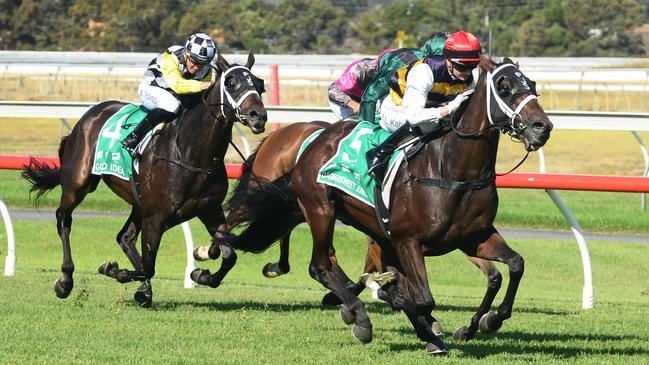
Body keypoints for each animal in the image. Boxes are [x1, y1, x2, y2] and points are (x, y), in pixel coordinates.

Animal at [22, 52, 266, 304]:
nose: (258, 116)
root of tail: (89, 115)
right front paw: (113, 270)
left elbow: (228, 256)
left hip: (137, 201)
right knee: (64, 219)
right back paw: (66, 280)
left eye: (260, 85)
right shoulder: (155, 218)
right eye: (231, 83)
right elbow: (148, 267)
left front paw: (200, 272)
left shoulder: (210, 209)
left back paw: (144, 290)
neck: (192, 153)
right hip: (78, 183)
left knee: (125, 238)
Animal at [219, 58, 552, 354]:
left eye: (533, 84)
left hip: (371, 228)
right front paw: (382, 297)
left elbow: (514, 266)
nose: (542, 126)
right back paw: (361, 317)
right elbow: (421, 298)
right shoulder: (408, 241)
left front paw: (487, 321)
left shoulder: (473, 237)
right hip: (320, 209)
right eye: (504, 87)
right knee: (320, 266)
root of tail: (313, 140)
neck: (454, 171)